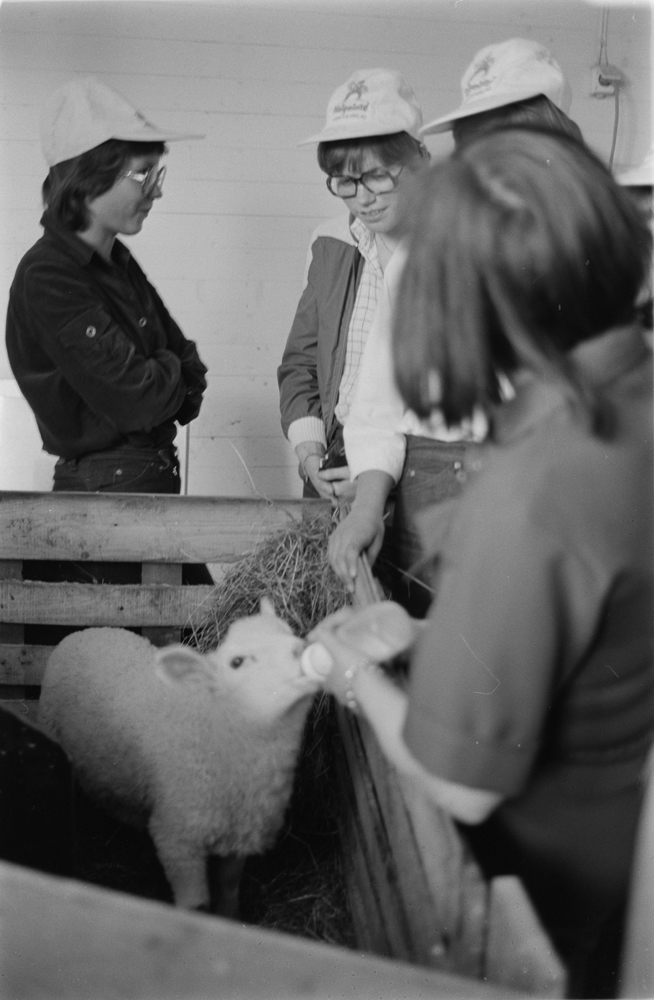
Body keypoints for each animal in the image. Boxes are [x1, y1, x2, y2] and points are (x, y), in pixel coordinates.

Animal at [37, 596, 320, 916]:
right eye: (237, 662)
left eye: (288, 631)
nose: (301, 649)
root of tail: (87, 630)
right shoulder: (178, 841)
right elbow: (195, 905)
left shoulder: (239, 835)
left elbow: (229, 888)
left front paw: (229, 916)